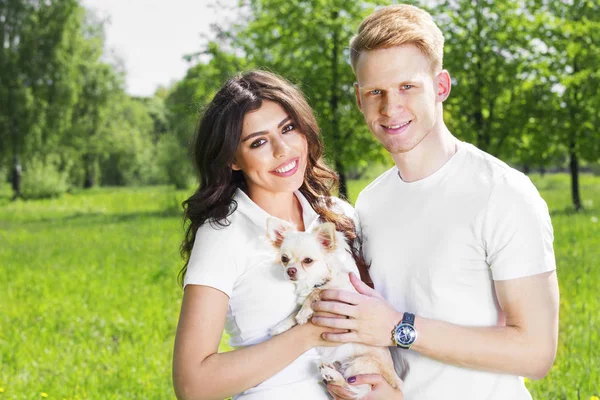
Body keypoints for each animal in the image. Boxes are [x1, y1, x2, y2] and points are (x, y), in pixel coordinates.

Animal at [268, 217, 404, 398]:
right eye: (284, 258)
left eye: (308, 261)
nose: (290, 270)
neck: (312, 282)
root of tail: (397, 383)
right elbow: (293, 314)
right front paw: (280, 326)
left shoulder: (344, 299)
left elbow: (316, 292)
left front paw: (304, 312)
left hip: (360, 366)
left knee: (355, 387)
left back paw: (332, 375)